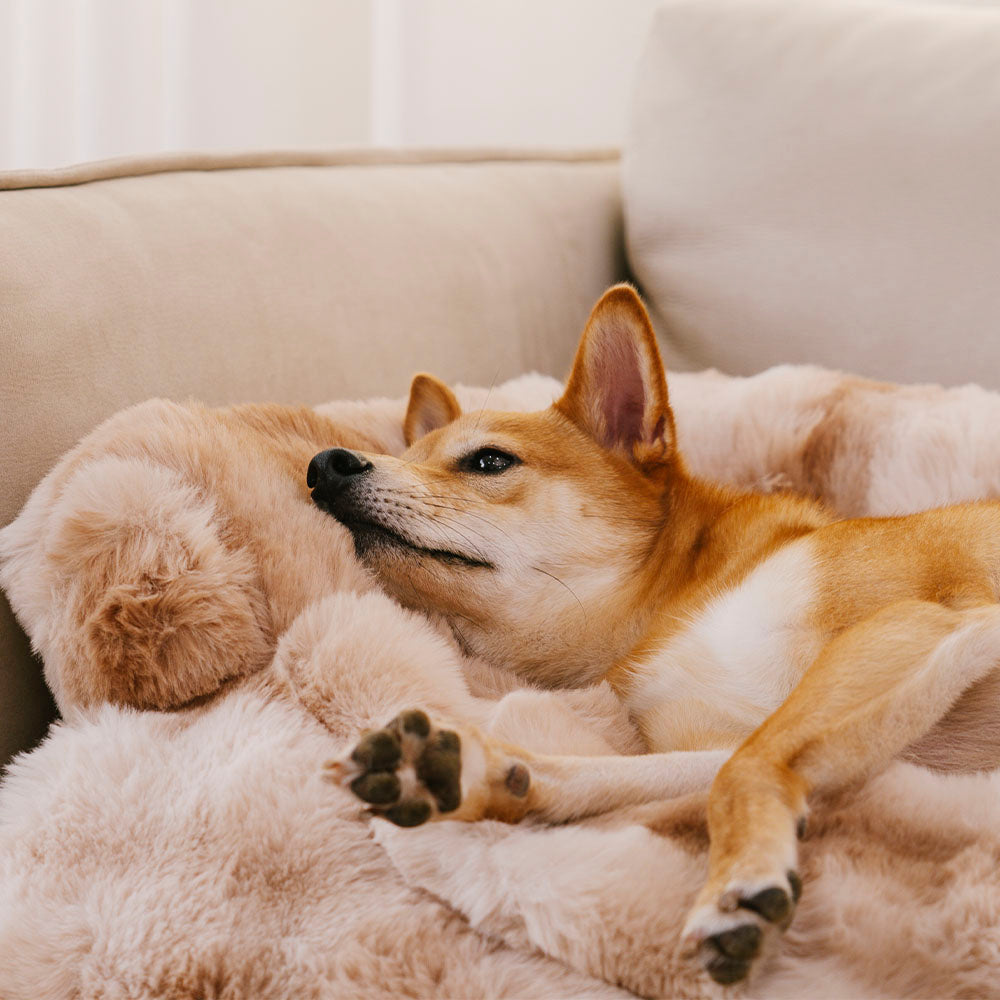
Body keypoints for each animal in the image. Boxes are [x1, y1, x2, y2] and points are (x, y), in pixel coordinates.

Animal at [316, 286, 1000, 988]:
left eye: (488, 461)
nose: (325, 466)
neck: (671, 609)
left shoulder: (913, 624)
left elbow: (743, 770)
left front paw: (738, 880)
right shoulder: (759, 733)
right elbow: (672, 770)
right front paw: (479, 772)